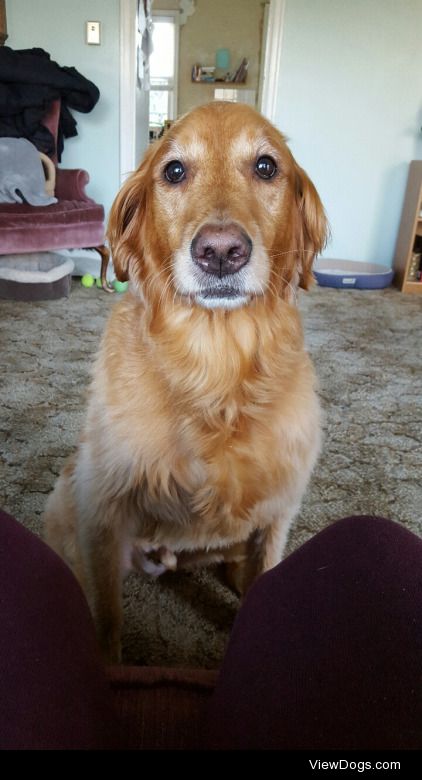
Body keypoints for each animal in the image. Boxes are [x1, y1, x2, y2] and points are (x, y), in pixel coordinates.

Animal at [47, 99, 330, 660]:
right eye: (174, 171)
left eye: (266, 166)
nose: (220, 252)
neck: (213, 364)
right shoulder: (101, 514)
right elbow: (107, 619)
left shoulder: (277, 513)